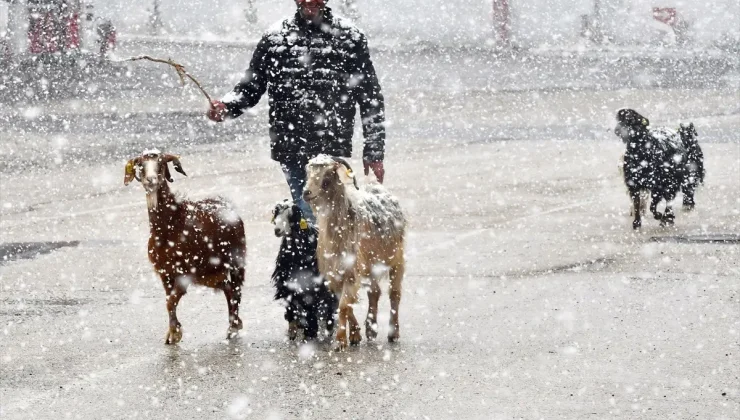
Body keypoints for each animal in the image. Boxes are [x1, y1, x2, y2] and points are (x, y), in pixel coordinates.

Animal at [122, 151, 246, 344]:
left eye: (161, 163)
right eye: (140, 165)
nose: (151, 180)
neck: (170, 226)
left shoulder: (184, 273)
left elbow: (171, 301)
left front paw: (175, 333)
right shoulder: (165, 273)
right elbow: (169, 301)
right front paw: (172, 333)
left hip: (236, 260)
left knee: (236, 290)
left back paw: (233, 328)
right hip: (210, 271)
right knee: (227, 288)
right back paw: (234, 324)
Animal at [270, 200, 336, 342]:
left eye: (291, 216)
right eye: (276, 213)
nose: (277, 230)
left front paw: (310, 332)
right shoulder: (287, 281)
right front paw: (293, 330)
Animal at [300, 155, 408, 352]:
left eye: (328, 175)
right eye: (308, 172)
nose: (306, 192)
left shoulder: (351, 270)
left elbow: (344, 305)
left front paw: (340, 341)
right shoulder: (335, 273)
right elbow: (344, 304)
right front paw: (356, 334)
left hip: (396, 258)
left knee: (394, 294)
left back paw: (393, 332)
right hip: (371, 263)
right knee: (374, 292)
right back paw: (371, 329)